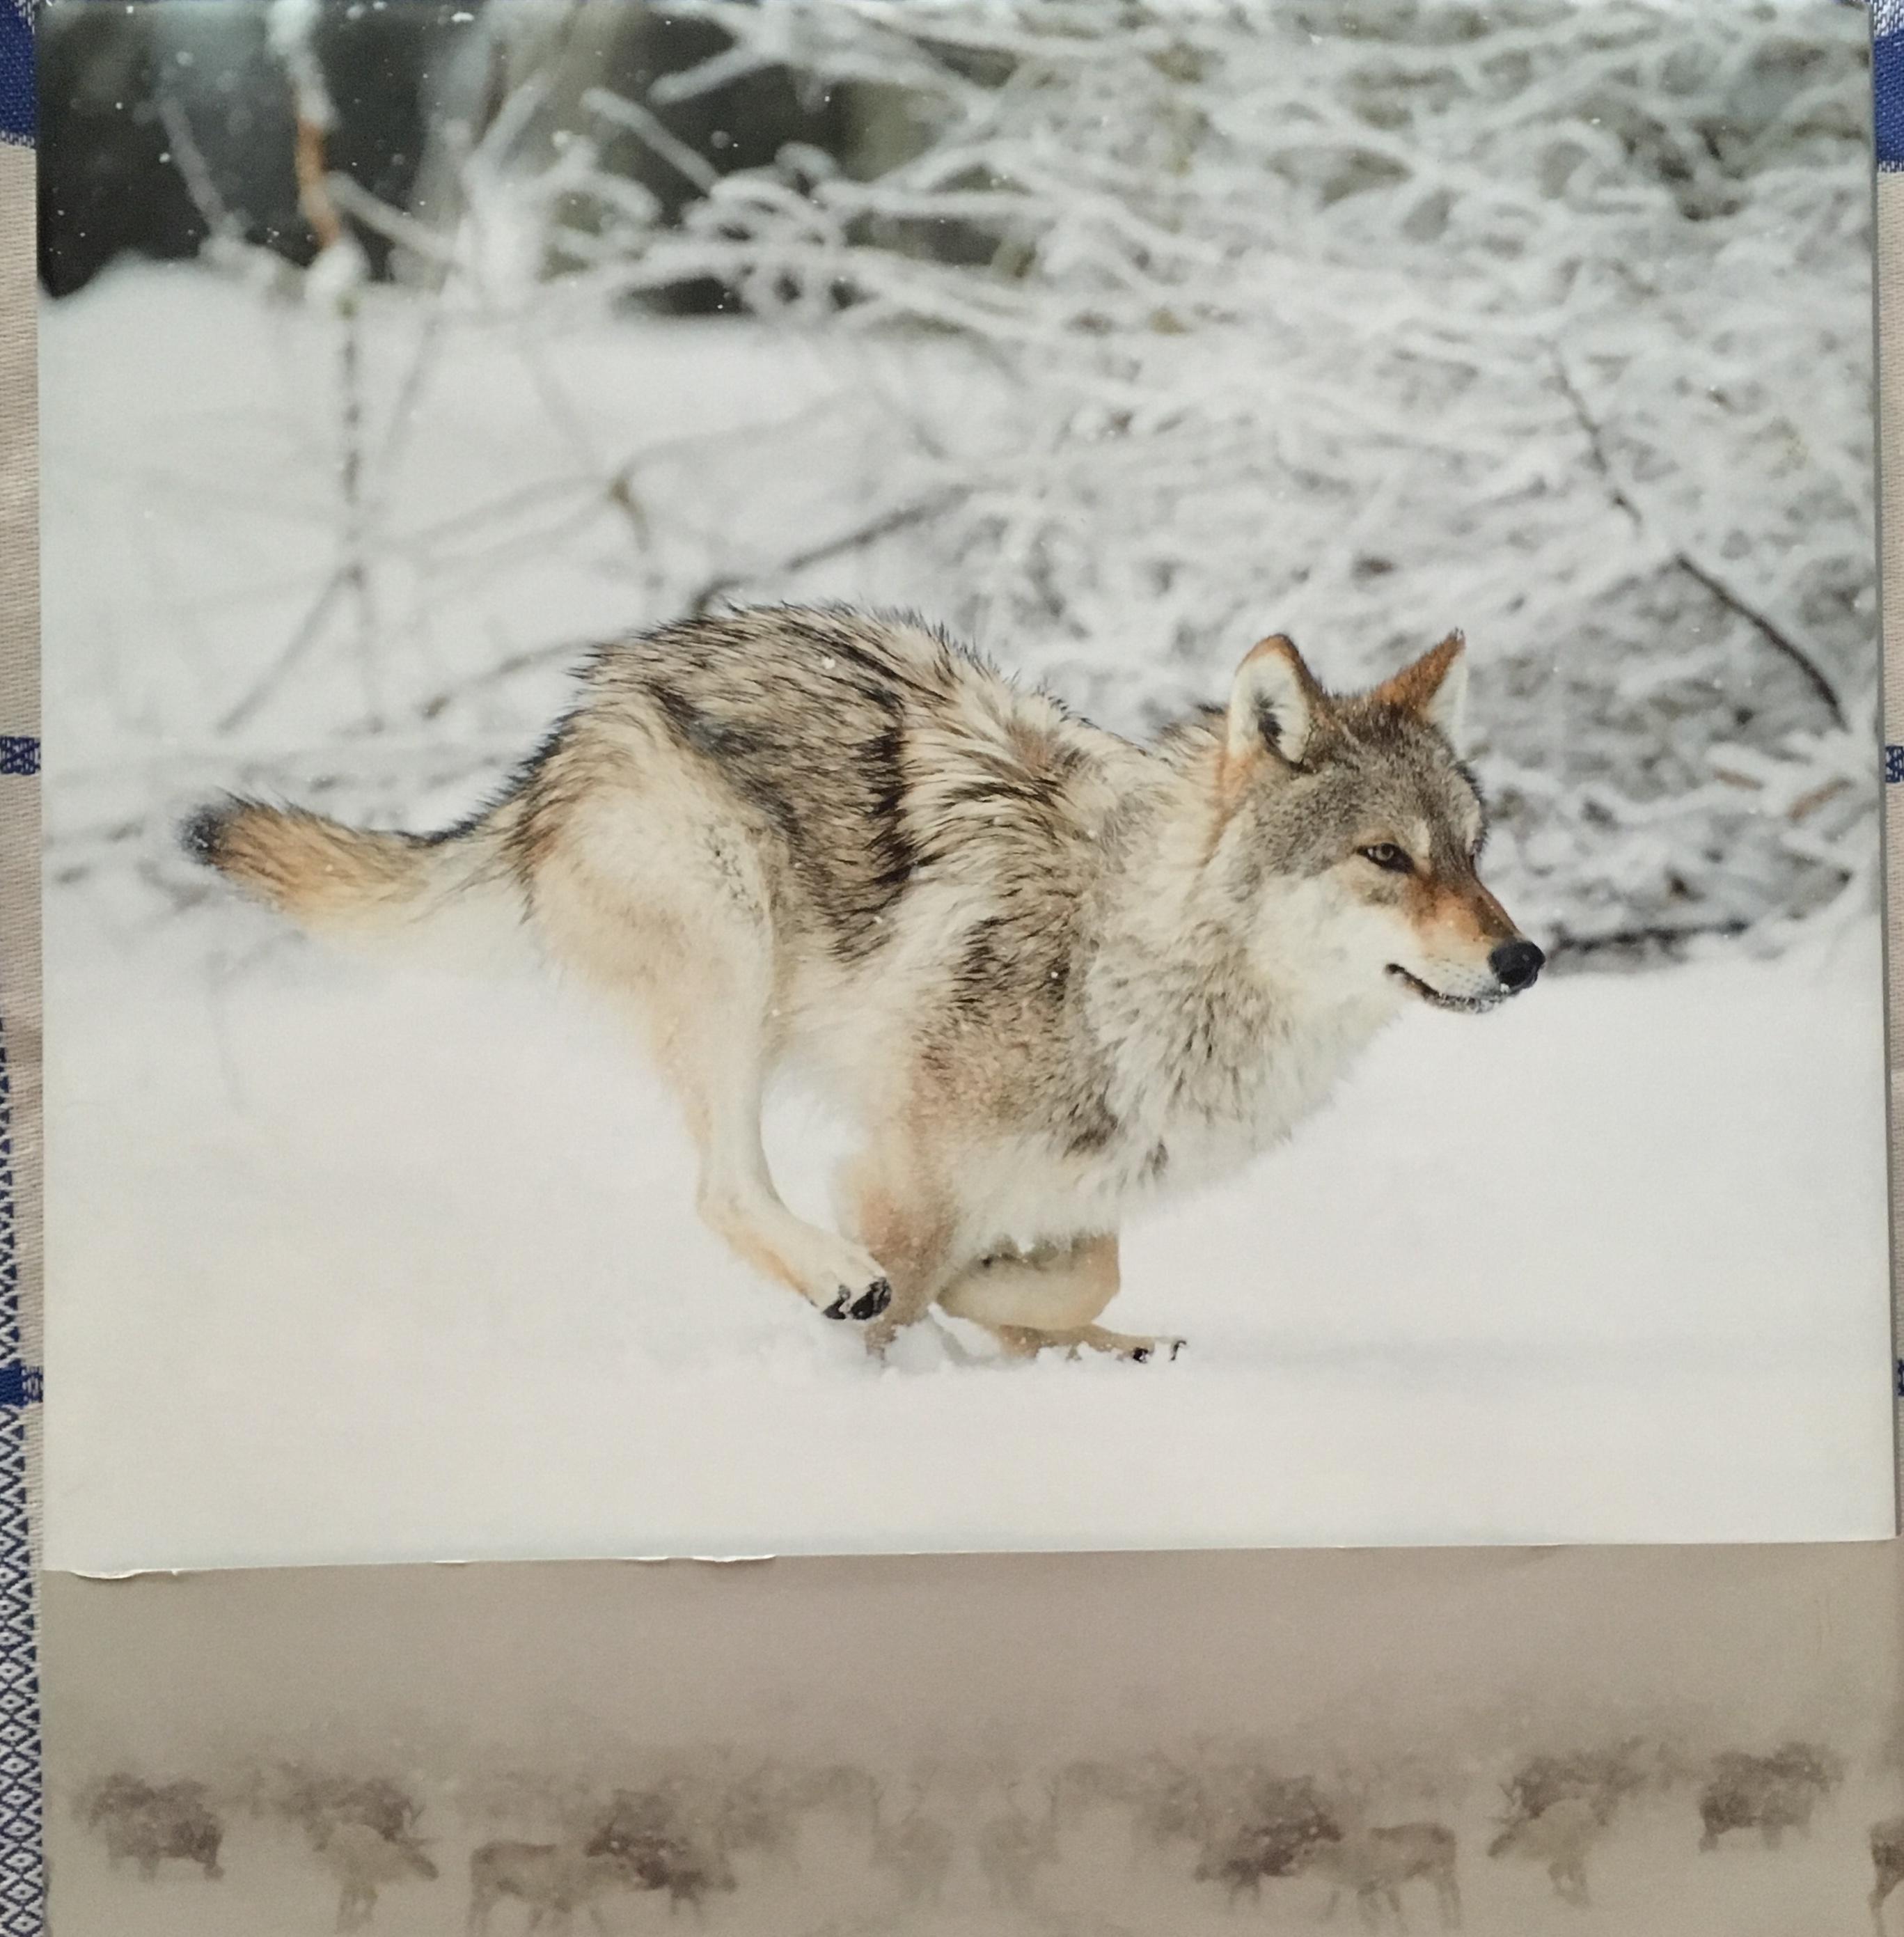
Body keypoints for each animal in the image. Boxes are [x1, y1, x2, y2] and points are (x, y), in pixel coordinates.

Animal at [186, 604, 1541, 1363]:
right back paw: (838, 1274)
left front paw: (1028, 1321)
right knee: (723, 1188)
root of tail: (584, 713)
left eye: (1475, 850)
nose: (1524, 959)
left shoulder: (1080, 1179)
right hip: (730, 955)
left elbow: (1082, 1269)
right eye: (1386, 856)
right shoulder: (911, 1164)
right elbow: (913, 1273)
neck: (1138, 961)